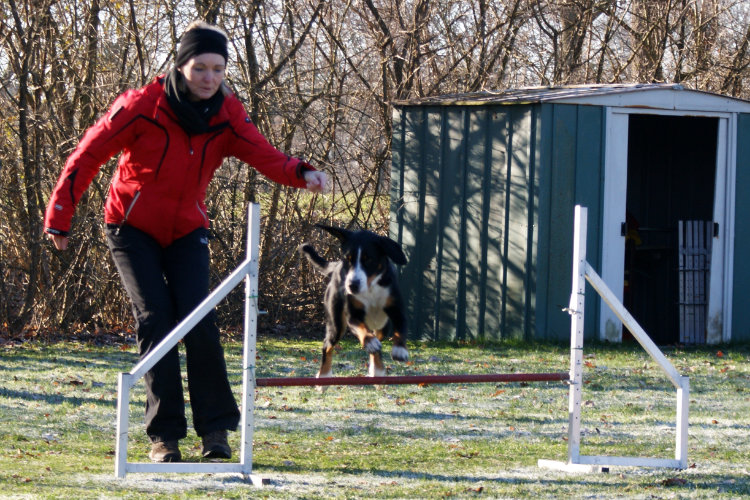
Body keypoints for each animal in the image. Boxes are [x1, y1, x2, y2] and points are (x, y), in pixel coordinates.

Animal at [300, 225, 408, 376]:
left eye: (368, 260)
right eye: (348, 259)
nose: (352, 285)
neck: (370, 289)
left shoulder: (397, 309)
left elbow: (401, 328)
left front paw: (400, 349)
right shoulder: (353, 316)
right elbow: (362, 329)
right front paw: (369, 341)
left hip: (383, 326)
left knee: (377, 345)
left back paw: (377, 370)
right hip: (336, 324)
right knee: (327, 345)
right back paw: (324, 375)